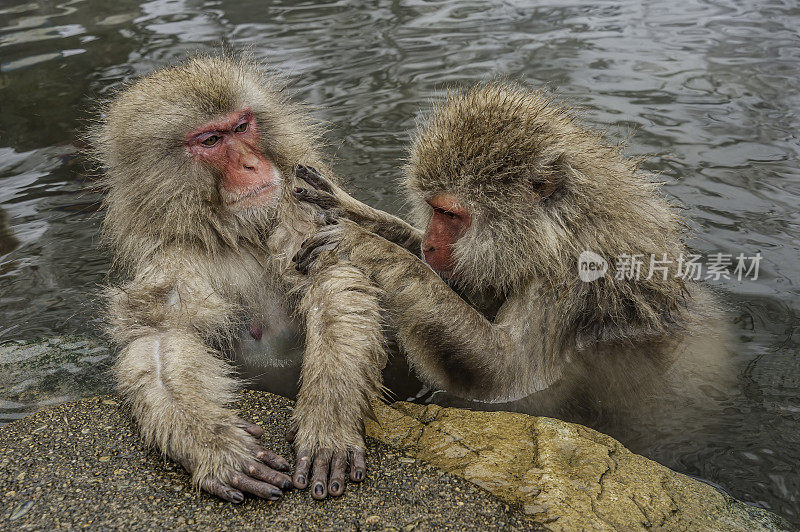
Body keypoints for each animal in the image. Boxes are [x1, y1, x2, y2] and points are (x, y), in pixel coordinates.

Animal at [296, 83, 732, 424]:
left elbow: (506, 375)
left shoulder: (569, 284)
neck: (560, 232)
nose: (430, 245)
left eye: (450, 214)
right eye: (433, 209)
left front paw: (368, 246)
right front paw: (354, 211)